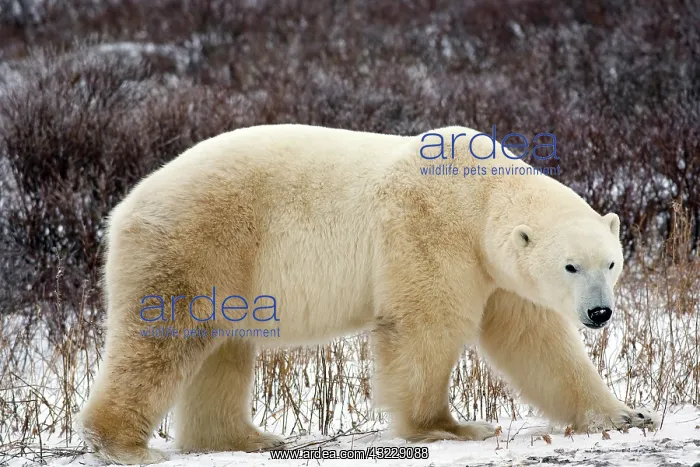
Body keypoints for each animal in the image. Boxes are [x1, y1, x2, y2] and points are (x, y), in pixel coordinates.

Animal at [76, 124, 659, 464]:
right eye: (570, 265)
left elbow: (538, 342)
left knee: (223, 351)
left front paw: (628, 416)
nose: (599, 312)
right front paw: (450, 427)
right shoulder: (428, 229)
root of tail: (124, 207)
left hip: (231, 268)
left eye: (611, 262)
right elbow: (427, 325)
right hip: (198, 241)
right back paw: (125, 446)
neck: (478, 192)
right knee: (164, 337)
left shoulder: (498, 272)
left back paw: (245, 438)